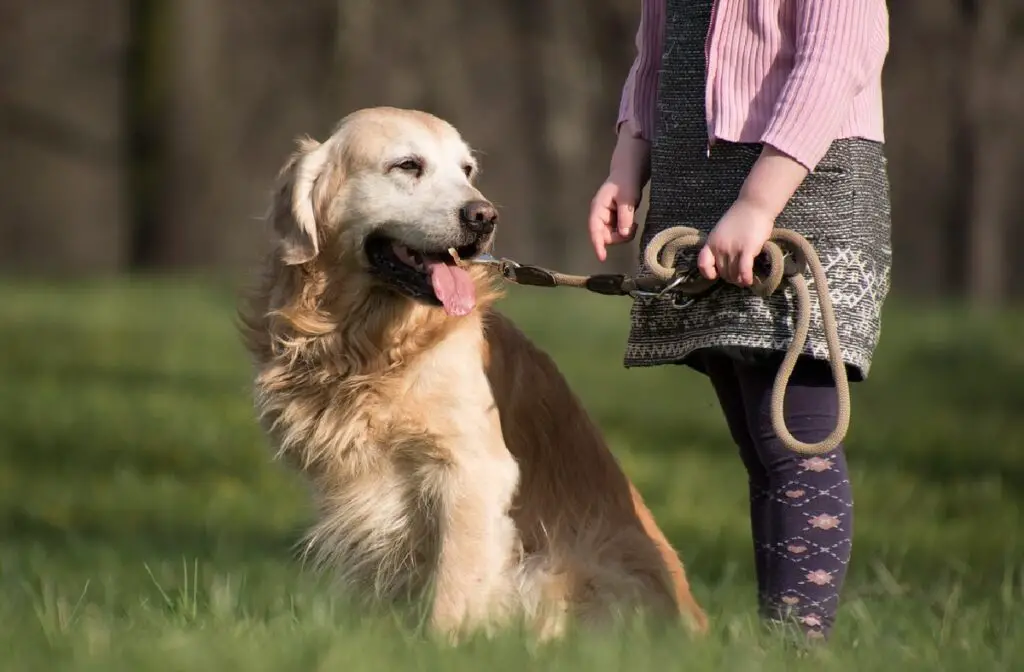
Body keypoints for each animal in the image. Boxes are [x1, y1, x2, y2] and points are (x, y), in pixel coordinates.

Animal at [236, 105, 708, 639]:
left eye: (466, 171)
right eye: (408, 165)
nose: (484, 216)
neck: (367, 344)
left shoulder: (472, 470)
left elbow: (455, 587)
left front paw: (443, 644)